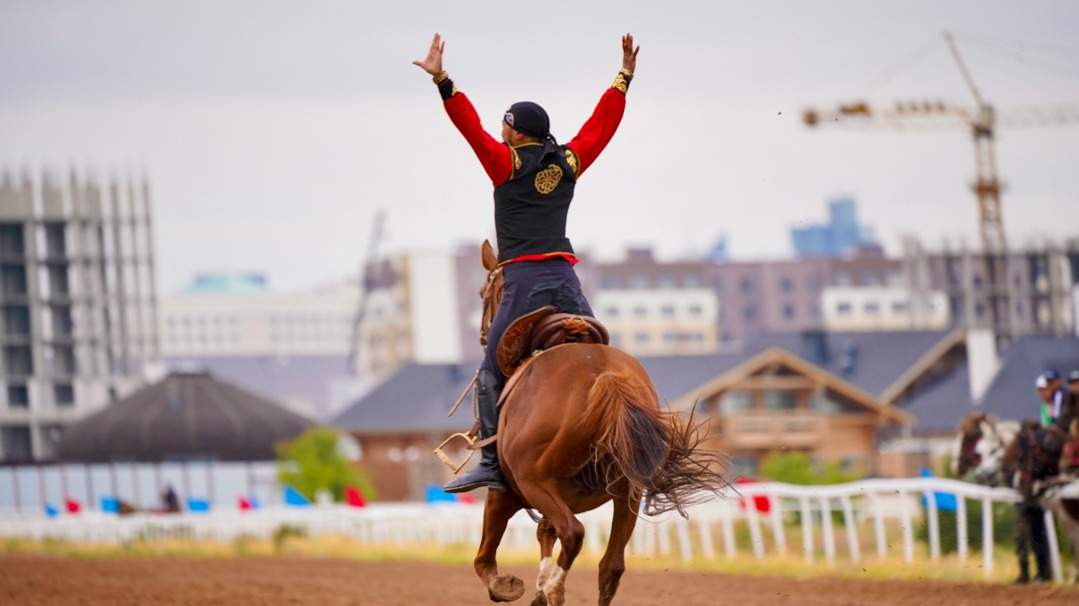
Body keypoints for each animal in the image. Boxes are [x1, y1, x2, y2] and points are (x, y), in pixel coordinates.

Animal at [472, 241, 725, 603]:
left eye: (484, 292)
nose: (483, 335)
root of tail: (605, 376)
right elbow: (546, 535)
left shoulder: (505, 495)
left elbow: (486, 557)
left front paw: (508, 585)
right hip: (628, 493)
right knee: (610, 566)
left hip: (534, 482)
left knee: (573, 533)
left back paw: (550, 586)